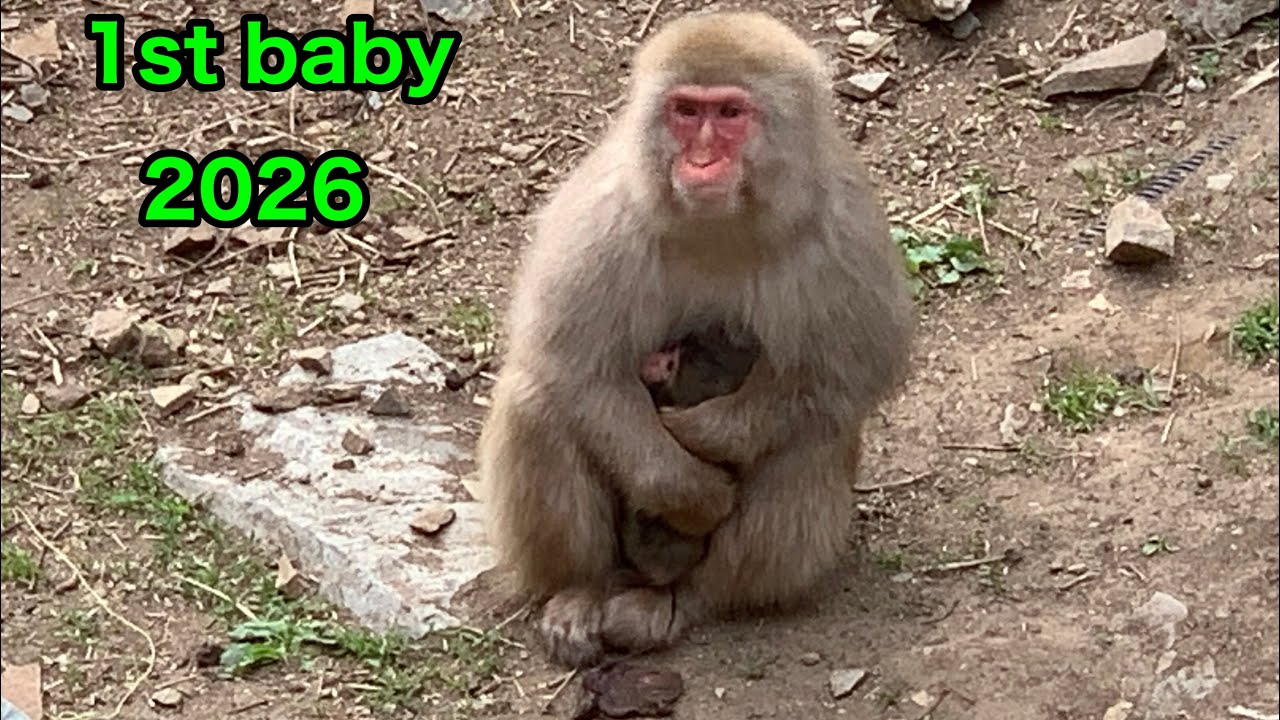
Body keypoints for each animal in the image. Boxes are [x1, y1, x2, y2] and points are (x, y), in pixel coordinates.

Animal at [475, 10, 915, 668]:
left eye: (730, 113)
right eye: (685, 111)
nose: (701, 159)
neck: (718, 222)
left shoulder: (844, 231)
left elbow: (847, 374)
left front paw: (700, 432)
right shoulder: (603, 219)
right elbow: (571, 364)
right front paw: (694, 491)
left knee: (813, 438)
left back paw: (690, 601)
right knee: (535, 403)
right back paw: (580, 591)